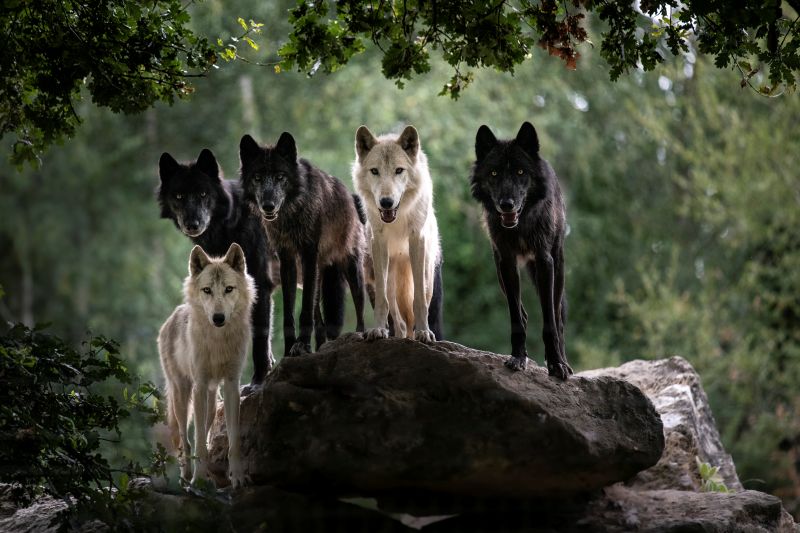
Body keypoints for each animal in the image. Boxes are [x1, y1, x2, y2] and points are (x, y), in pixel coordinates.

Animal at [158, 149, 276, 385]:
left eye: (203, 194)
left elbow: (260, 336)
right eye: (179, 196)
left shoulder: (260, 284)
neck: (231, 223)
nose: (192, 224)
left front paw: (259, 380)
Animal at [158, 243, 254, 488]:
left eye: (229, 289)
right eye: (207, 290)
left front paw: (237, 477)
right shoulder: (199, 385)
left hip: (212, 399)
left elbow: (233, 440)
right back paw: (186, 476)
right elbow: (199, 439)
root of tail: (174, 314)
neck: (218, 341)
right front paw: (198, 478)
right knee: (185, 439)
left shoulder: (231, 384)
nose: (218, 318)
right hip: (182, 396)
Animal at [239, 132, 366, 356]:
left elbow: (304, 310)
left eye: (280, 177)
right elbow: (289, 313)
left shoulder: (308, 255)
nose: (268, 205)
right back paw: (321, 346)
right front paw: (290, 348)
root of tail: (351, 197)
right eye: (257, 178)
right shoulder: (287, 260)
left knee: (361, 305)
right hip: (317, 275)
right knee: (320, 319)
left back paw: (360, 335)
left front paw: (302, 345)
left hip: (350, 268)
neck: (290, 214)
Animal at [353, 125, 444, 342]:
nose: (386, 202)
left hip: (427, 272)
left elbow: (419, 300)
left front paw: (424, 332)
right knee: (400, 322)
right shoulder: (378, 243)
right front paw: (378, 329)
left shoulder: (417, 240)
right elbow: (381, 302)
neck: (398, 217)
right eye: (375, 171)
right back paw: (399, 336)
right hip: (389, 278)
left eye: (399, 170)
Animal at [470, 122, 573, 380]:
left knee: (558, 317)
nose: (506, 205)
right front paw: (518, 357)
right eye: (494, 173)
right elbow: (516, 318)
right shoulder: (506, 262)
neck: (521, 225)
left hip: (558, 268)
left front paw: (556, 364)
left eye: (520, 172)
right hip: (499, 271)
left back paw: (564, 362)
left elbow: (550, 322)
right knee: (523, 314)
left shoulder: (545, 262)